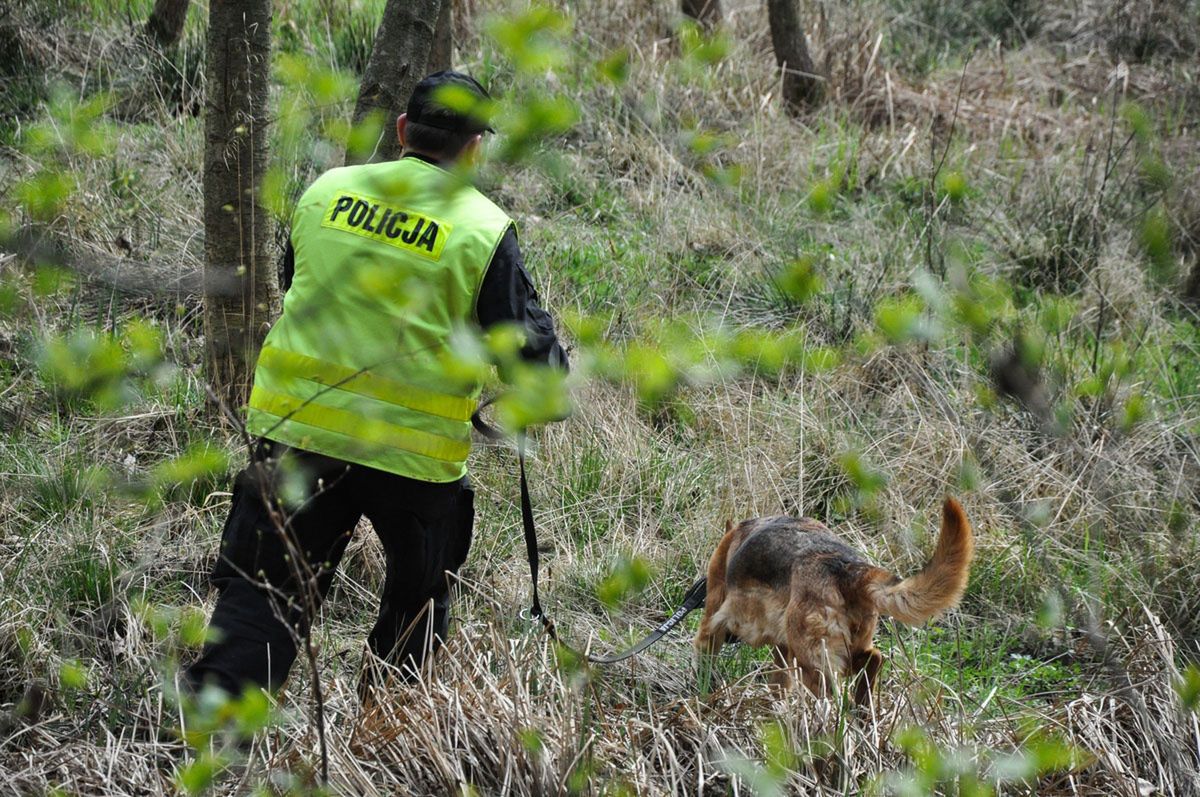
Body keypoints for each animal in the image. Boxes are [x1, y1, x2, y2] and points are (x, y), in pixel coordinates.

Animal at [700, 499, 969, 705]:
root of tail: (846, 567)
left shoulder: (712, 619)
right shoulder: (783, 651)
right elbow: (778, 685)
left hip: (813, 661)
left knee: (831, 696)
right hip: (842, 649)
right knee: (873, 660)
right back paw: (863, 712)